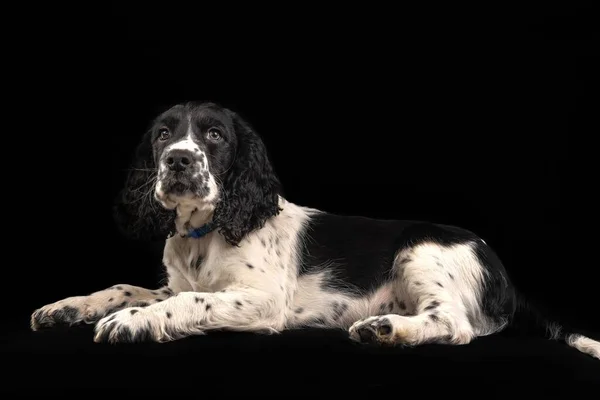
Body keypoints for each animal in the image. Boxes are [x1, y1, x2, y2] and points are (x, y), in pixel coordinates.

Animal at [30, 101, 600, 360]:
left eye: (214, 136)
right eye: (163, 135)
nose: (177, 161)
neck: (207, 230)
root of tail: (503, 271)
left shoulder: (262, 299)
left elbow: (188, 302)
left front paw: (132, 322)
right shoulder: (176, 282)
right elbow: (124, 286)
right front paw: (67, 307)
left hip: (420, 252)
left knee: (456, 325)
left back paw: (386, 329)